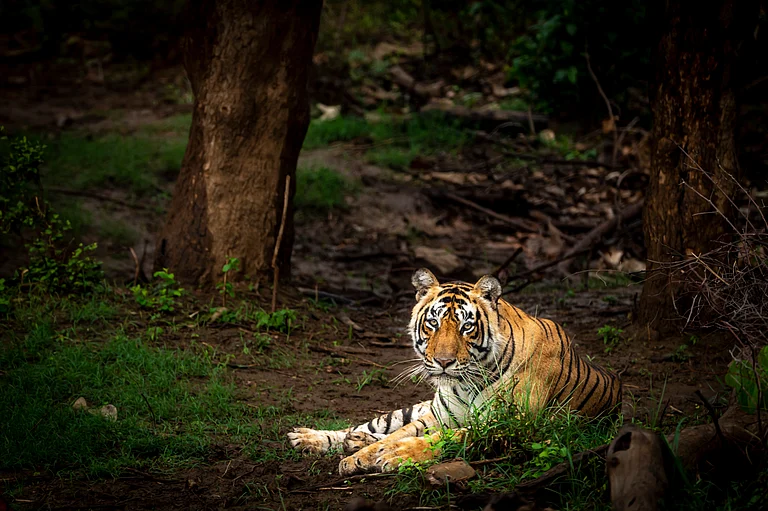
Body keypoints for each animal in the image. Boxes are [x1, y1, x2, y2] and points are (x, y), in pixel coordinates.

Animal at [288, 268, 621, 476]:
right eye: (433, 323)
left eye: (466, 326)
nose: (444, 361)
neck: (467, 382)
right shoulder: (440, 415)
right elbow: (398, 435)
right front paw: (359, 458)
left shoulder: (506, 425)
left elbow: (438, 440)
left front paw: (396, 456)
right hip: (416, 409)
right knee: (371, 425)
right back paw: (310, 438)